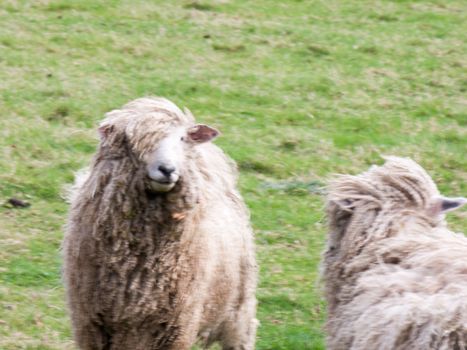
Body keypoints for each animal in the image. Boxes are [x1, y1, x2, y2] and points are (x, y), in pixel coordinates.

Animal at [62, 96, 258, 350]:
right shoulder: (92, 325)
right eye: (132, 142)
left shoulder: (177, 326)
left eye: (182, 138)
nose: (167, 169)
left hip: (239, 307)